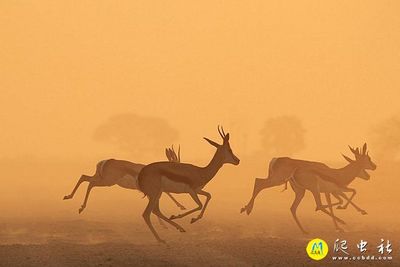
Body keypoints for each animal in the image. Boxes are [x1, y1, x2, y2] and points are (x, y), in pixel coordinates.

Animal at [241, 143, 376, 233]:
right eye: (368, 159)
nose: (373, 168)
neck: (338, 174)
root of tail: (275, 159)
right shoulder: (334, 190)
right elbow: (345, 197)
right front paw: (343, 217)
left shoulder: (330, 191)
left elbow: (340, 200)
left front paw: (340, 225)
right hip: (292, 184)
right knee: (259, 182)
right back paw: (247, 209)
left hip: (301, 191)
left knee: (293, 207)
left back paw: (304, 230)